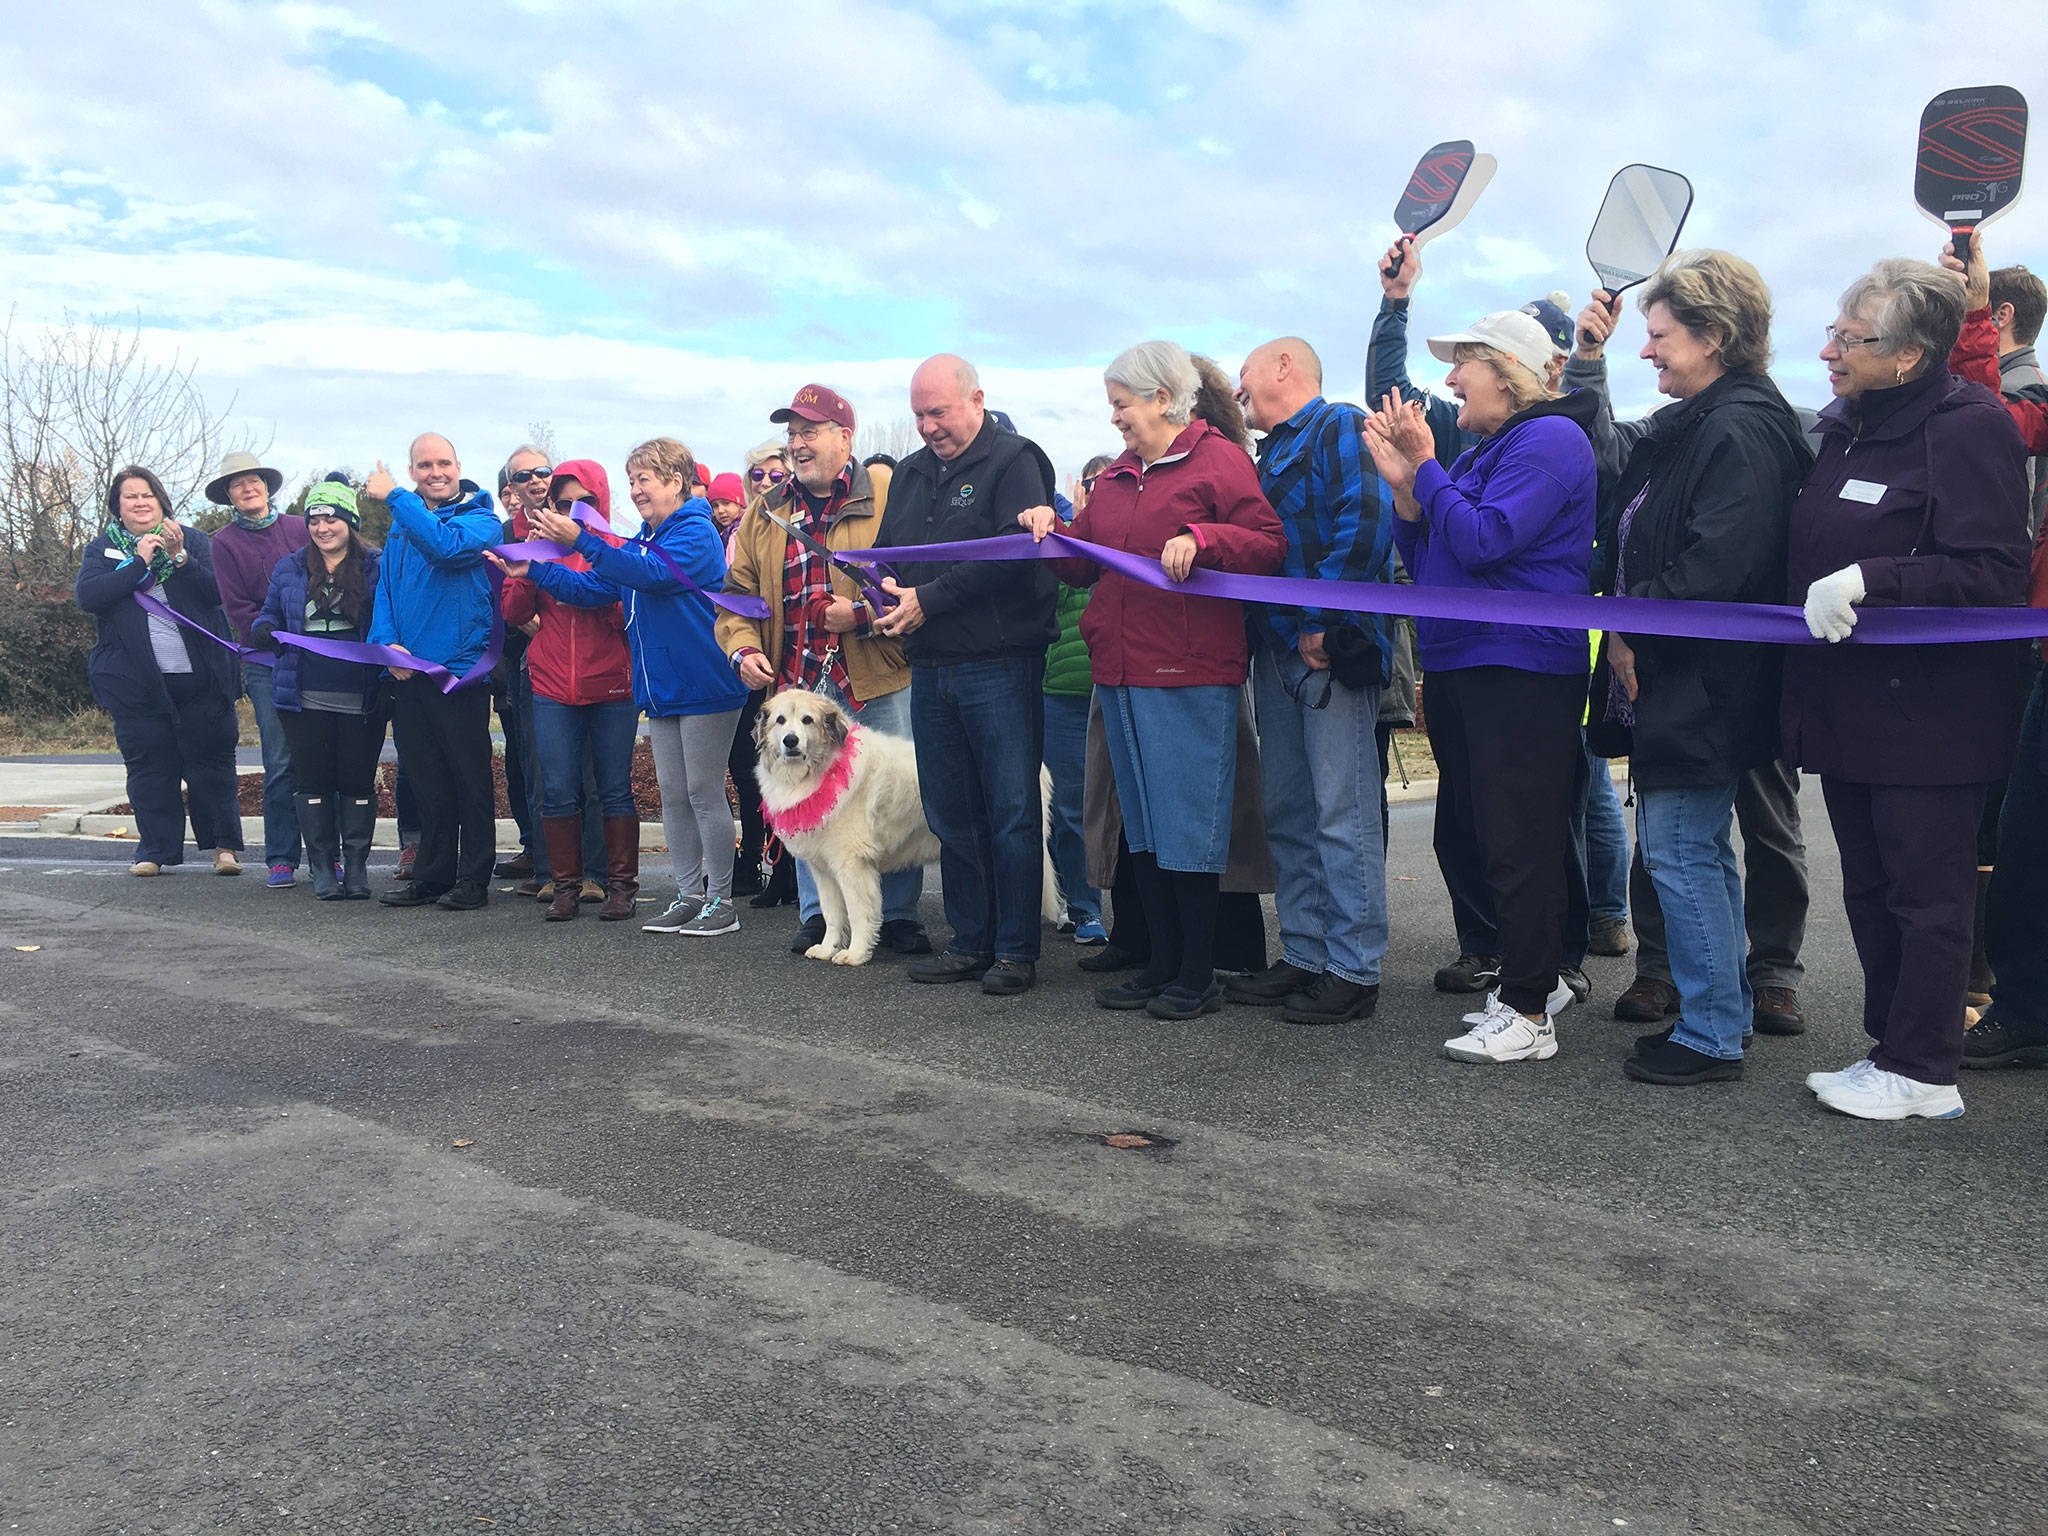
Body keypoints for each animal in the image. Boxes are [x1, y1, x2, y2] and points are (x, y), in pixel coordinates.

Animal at [761, 692, 1064, 966]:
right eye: (780, 720)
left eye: (807, 720)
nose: (791, 741)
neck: (825, 768)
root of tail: (1040, 768)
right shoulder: (824, 871)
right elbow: (832, 915)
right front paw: (827, 948)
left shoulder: (852, 867)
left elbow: (859, 914)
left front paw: (856, 954)